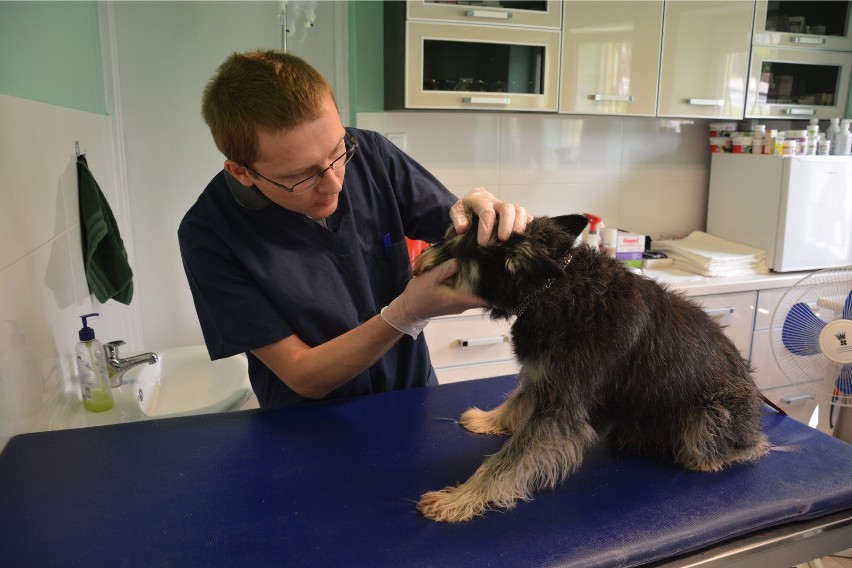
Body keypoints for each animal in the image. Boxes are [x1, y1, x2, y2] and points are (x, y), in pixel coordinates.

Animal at [414, 214, 772, 524]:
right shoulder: (543, 376)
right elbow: (518, 399)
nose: (417, 262)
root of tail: (756, 417)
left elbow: (507, 460)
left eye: (452, 237)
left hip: (711, 415)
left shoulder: (561, 407)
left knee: (747, 447)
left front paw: (461, 498)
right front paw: (490, 420)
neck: (550, 287)